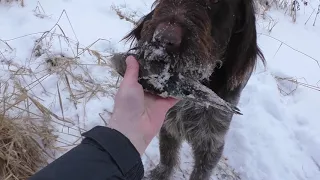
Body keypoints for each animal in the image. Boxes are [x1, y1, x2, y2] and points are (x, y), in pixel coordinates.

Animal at [112, 0, 264, 179]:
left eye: (216, 3)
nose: (163, 38)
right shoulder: (169, 123)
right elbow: (167, 156)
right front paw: (160, 174)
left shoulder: (211, 142)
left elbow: (200, 172)